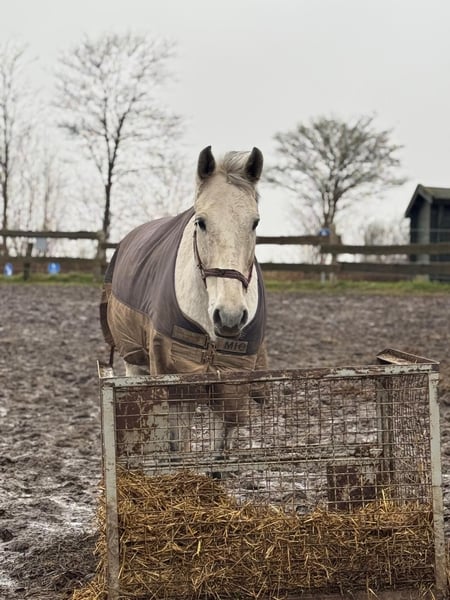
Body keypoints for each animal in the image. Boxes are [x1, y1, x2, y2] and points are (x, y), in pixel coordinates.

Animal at [100, 146, 268, 457]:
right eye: (201, 222)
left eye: (255, 223)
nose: (229, 316)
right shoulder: (175, 378)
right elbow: (178, 444)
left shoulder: (232, 380)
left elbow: (221, 445)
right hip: (134, 360)